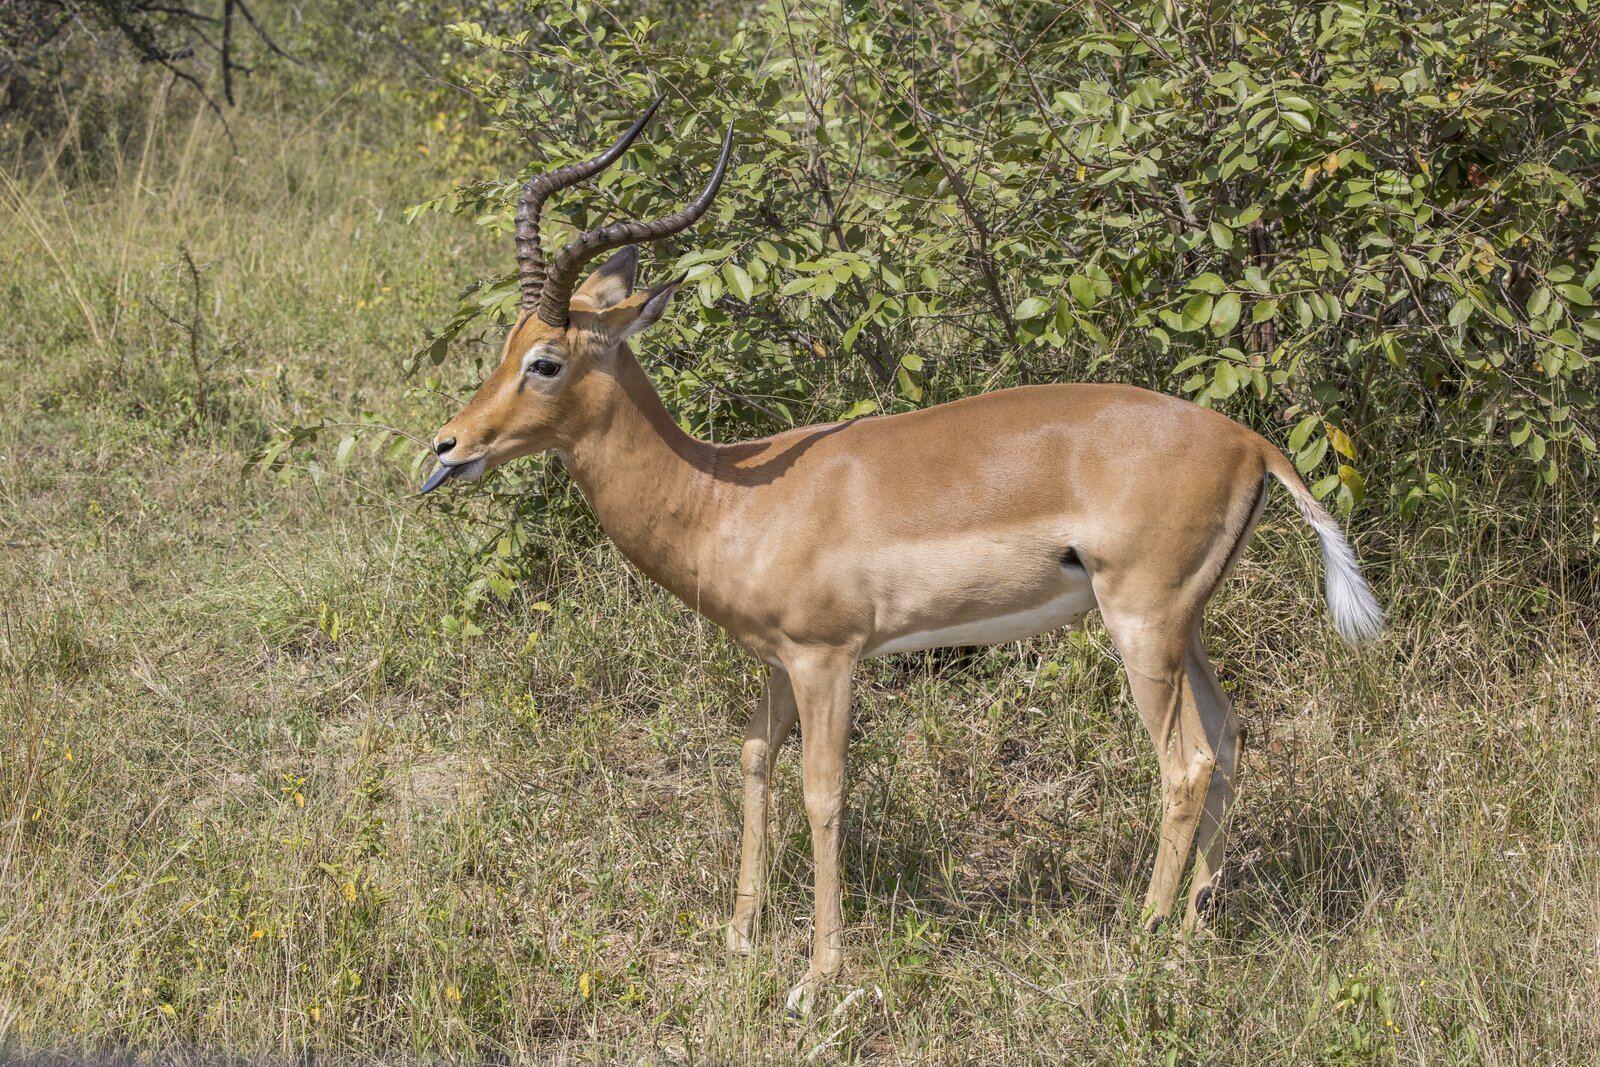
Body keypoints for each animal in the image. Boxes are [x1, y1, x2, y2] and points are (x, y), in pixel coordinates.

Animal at [422, 101, 1384, 1014]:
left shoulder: (827, 658)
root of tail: (1250, 442)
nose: (447, 446)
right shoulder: (777, 660)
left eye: (546, 360)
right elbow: (752, 756)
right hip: (1188, 626)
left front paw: (817, 978)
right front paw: (739, 938)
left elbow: (824, 791)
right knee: (1230, 738)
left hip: (1142, 624)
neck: (730, 495)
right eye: (504, 346)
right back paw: (1191, 930)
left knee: (1185, 763)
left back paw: (1143, 939)